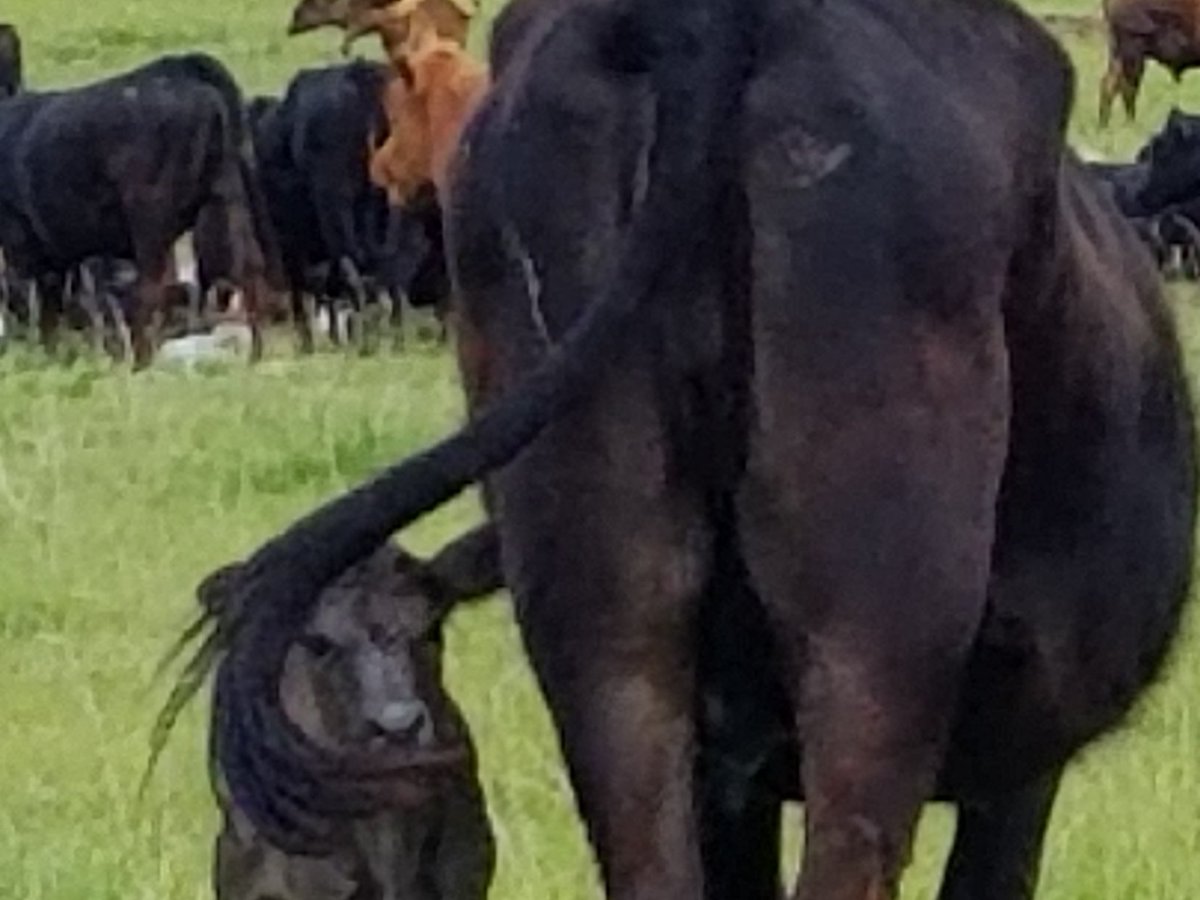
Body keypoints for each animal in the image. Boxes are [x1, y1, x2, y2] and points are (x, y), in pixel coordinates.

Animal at [0, 54, 272, 367]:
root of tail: (185, 67)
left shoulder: (21, 241)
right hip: (229, 198)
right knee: (249, 269)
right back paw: (257, 355)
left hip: (150, 217)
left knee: (152, 287)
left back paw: (142, 361)